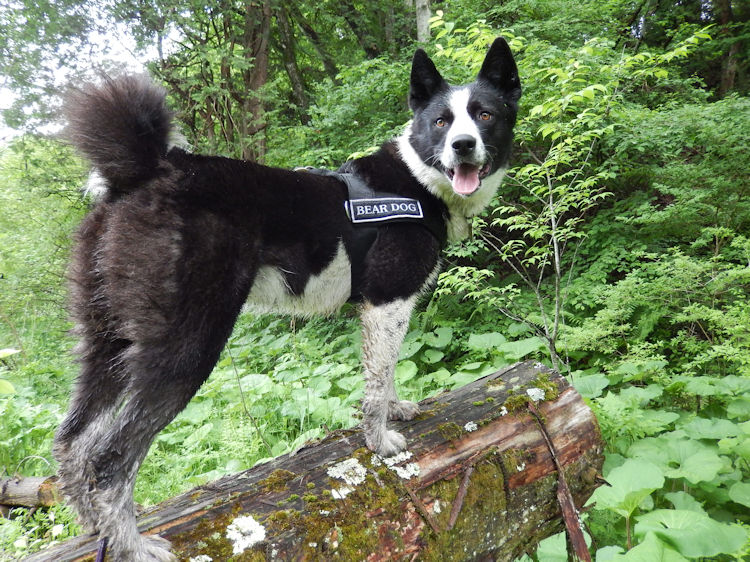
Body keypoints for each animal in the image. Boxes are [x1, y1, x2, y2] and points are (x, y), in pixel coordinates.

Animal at [54, 38, 524, 556]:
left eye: (484, 115)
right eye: (441, 121)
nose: (463, 146)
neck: (418, 179)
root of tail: (143, 173)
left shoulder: (382, 309)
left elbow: (385, 370)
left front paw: (396, 409)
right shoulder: (388, 302)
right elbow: (378, 380)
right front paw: (379, 441)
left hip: (108, 343)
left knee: (73, 441)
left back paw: (96, 529)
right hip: (186, 345)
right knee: (110, 459)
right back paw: (132, 547)